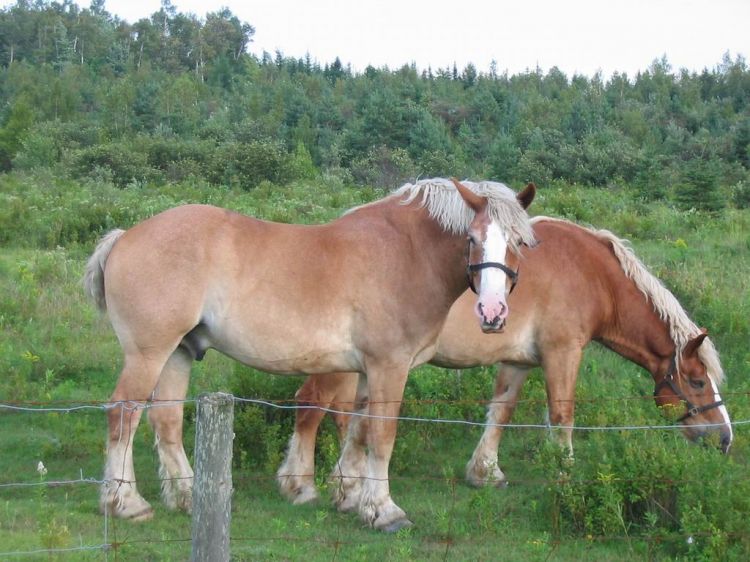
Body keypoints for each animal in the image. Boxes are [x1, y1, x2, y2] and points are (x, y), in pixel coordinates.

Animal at [85, 176, 536, 528]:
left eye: (519, 242)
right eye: (472, 239)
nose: (492, 312)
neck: (406, 252)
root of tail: (124, 237)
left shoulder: (367, 371)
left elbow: (358, 430)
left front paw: (352, 498)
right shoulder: (390, 366)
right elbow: (381, 435)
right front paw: (384, 510)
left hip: (177, 352)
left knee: (166, 419)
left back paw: (188, 496)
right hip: (148, 353)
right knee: (123, 413)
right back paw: (126, 503)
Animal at [280, 215, 732, 504]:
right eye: (697, 381)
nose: (725, 439)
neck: (591, 273)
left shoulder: (519, 361)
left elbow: (501, 411)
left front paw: (485, 472)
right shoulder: (562, 351)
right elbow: (562, 415)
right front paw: (565, 478)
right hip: (341, 367)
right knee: (312, 406)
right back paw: (304, 484)